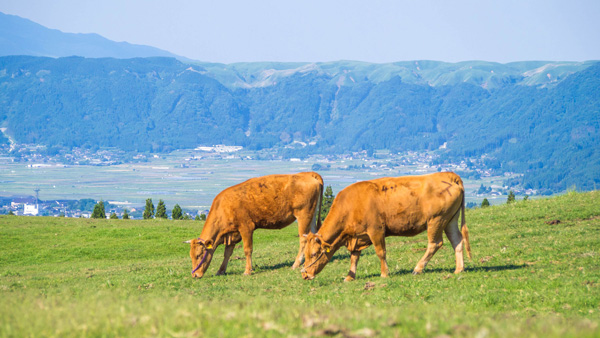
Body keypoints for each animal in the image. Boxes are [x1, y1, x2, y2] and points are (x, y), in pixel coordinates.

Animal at [186, 173, 324, 278]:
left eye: (198, 255)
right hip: (311, 216)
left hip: (303, 215)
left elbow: (247, 250)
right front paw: (220, 270)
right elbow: (227, 253)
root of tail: (307, 174)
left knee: (303, 239)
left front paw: (247, 271)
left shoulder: (246, 227)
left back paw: (295, 264)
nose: (195, 275)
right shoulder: (231, 233)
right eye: (191, 256)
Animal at [302, 173, 472, 282]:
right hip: (450, 220)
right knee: (457, 240)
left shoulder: (376, 229)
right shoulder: (357, 236)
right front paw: (350, 277)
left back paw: (418, 268)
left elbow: (380, 252)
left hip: (436, 220)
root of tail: (449, 175)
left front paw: (384, 274)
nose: (305, 274)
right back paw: (459, 269)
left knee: (435, 243)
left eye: (314, 253)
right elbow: (354, 257)